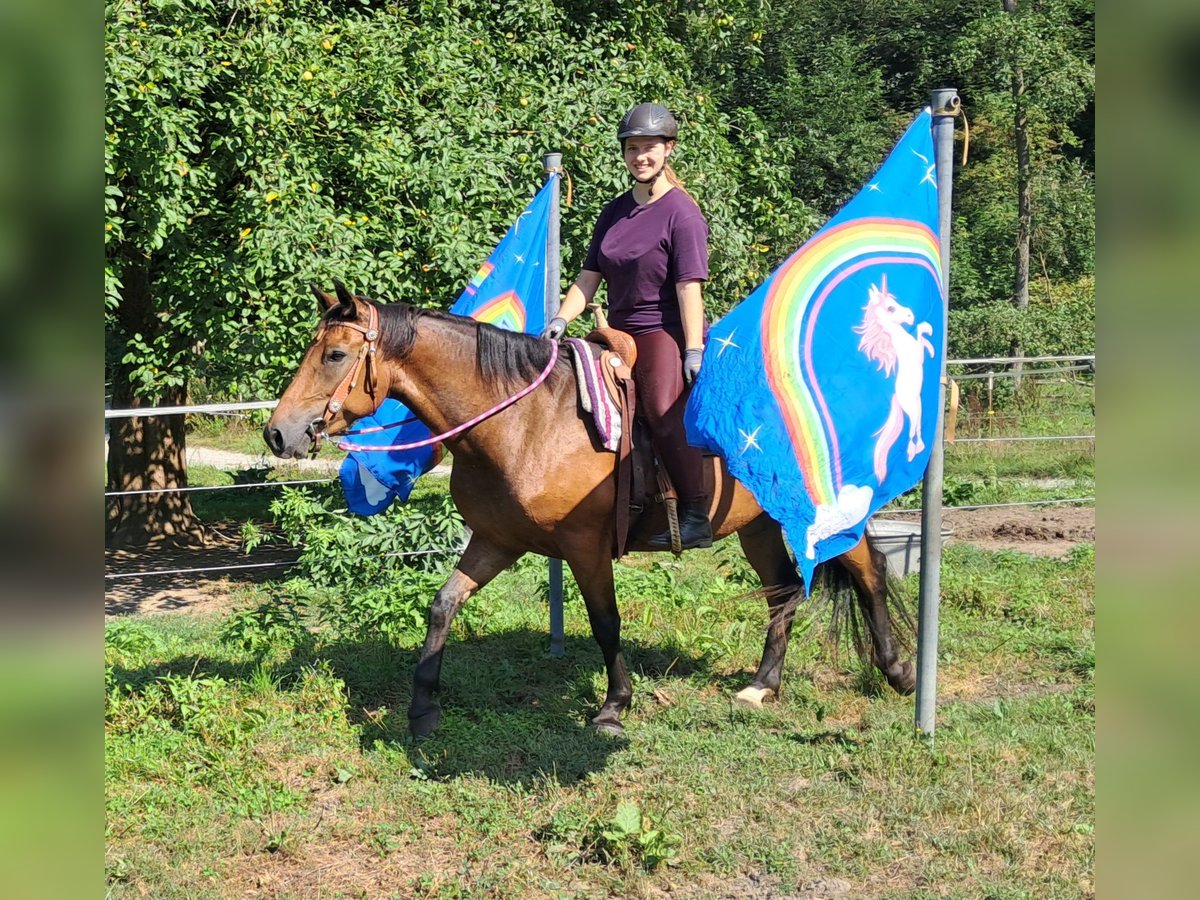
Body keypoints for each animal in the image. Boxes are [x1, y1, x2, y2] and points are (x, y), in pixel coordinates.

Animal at [265, 283, 916, 739]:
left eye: (336, 354)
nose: (278, 433)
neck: (523, 419)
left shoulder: (584, 547)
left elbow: (606, 622)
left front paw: (613, 706)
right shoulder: (496, 541)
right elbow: (443, 606)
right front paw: (424, 708)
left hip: (826, 517)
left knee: (868, 573)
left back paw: (897, 671)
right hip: (757, 525)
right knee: (783, 590)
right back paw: (762, 684)